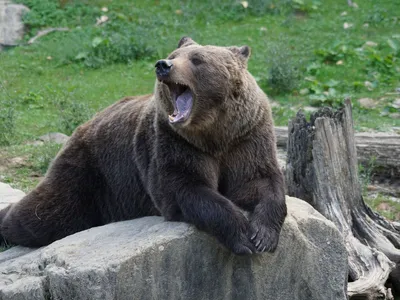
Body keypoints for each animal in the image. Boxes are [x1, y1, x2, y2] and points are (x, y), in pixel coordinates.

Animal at [0, 36, 288, 254]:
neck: (213, 133)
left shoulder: (246, 137)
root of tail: (84, 125)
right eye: (174, 53)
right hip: (90, 172)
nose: (163, 65)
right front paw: (242, 236)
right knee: (47, 214)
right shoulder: (174, 143)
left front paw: (263, 236)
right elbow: (186, 187)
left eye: (197, 59)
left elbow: (259, 181)